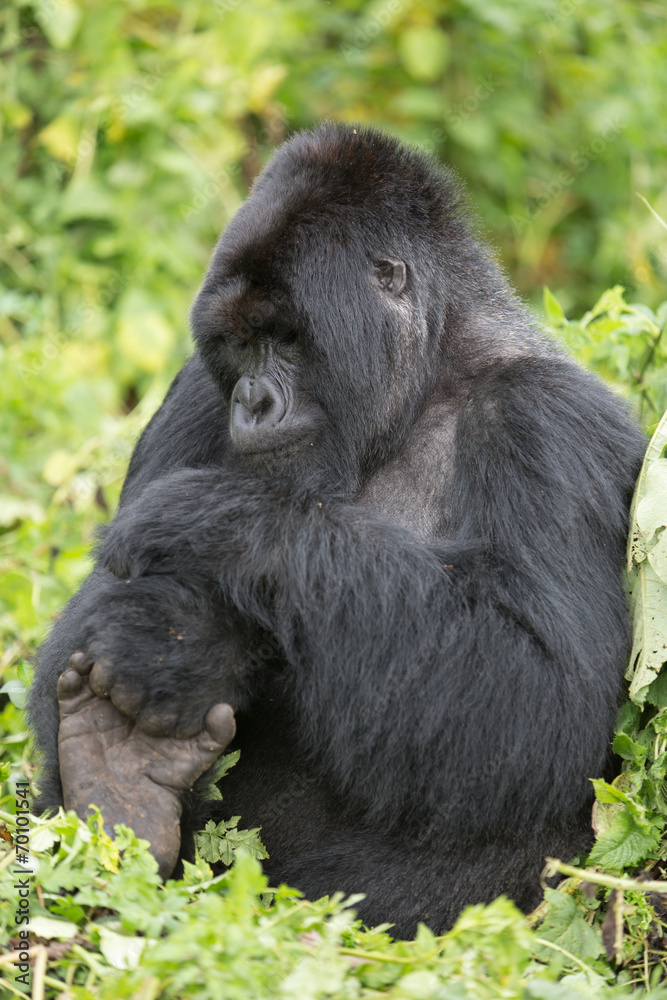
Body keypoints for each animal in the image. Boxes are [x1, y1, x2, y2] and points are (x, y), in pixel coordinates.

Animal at [30, 123, 648, 936]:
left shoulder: (546, 420)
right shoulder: (195, 389)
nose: (253, 401)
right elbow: (84, 614)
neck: (427, 374)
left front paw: (215, 546)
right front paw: (171, 646)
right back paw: (117, 791)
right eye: (241, 345)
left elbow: (548, 701)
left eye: (287, 338)